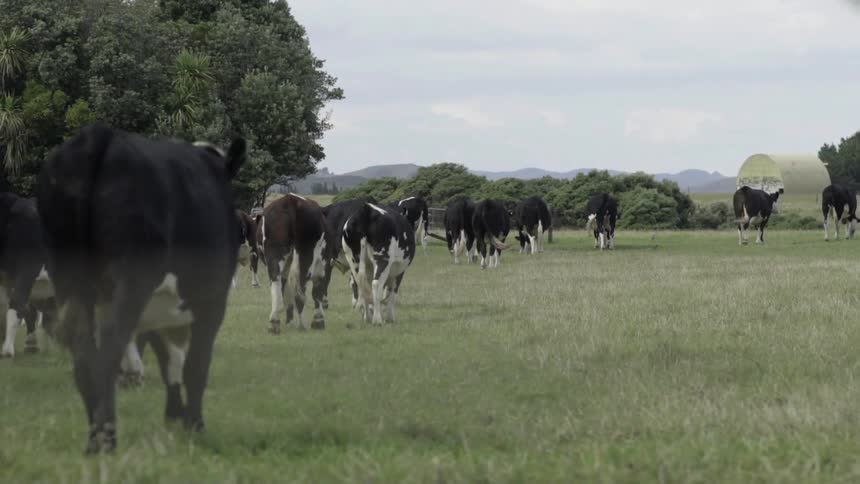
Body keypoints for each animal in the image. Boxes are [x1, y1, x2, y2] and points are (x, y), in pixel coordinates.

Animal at [36, 123, 247, 454]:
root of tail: (100, 136)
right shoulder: (212, 301)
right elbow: (195, 365)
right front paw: (194, 426)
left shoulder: (158, 309)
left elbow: (168, 363)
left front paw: (174, 416)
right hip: (132, 280)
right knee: (108, 347)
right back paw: (107, 439)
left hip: (71, 279)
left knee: (83, 353)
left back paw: (94, 438)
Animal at [255, 193, 329, 334]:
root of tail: (291, 200)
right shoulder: (322, 264)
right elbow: (317, 290)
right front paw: (318, 320)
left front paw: (289, 320)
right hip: (305, 255)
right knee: (301, 288)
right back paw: (301, 324)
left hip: (275, 255)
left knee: (277, 283)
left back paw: (274, 322)